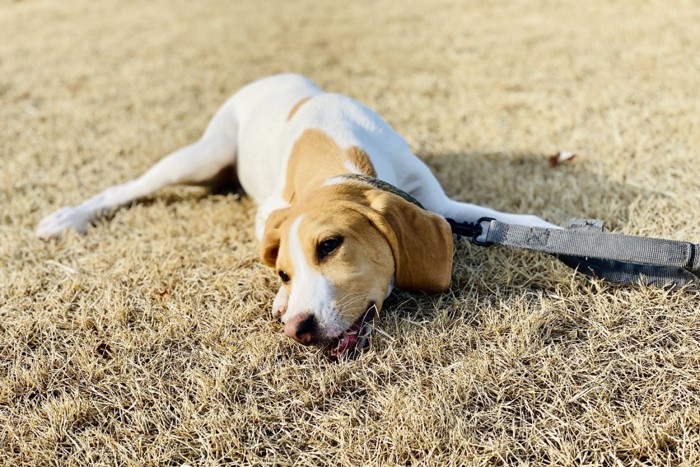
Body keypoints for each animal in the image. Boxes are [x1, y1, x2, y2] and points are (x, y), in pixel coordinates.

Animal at [35, 75, 556, 356]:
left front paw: (551, 230)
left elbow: (493, 215)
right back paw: (66, 219)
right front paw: (282, 300)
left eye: (330, 245)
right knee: (127, 188)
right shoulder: (270, 213)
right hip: (200, 156)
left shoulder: (436, 203)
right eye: (284, 272)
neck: (340, 155)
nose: (298, 329)